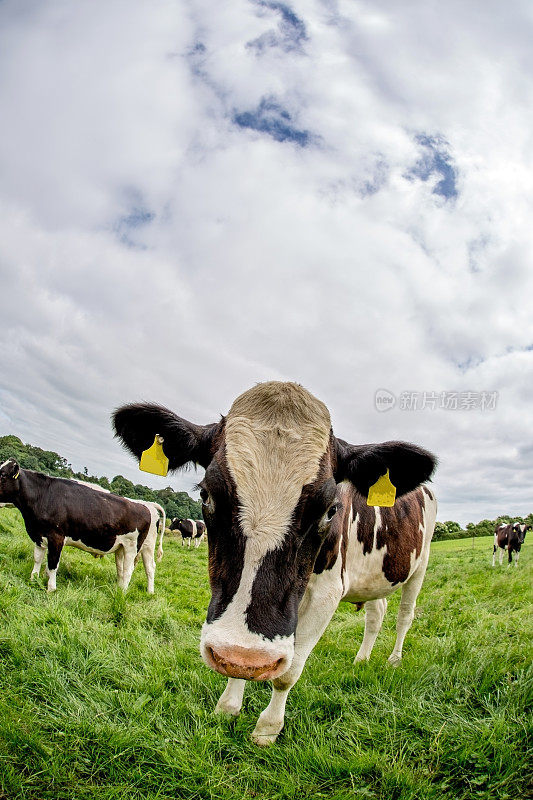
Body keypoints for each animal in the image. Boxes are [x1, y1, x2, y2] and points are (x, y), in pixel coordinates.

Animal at [0, 456, 165, 592]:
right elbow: (37, 559)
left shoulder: (56, 537)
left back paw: (129, 593)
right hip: (121, 547)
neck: (43, 495)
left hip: (138, 546)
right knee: (122, 568)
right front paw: (33, 579)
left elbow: (52, 564)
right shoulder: (38, 535)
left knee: (139, 569)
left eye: (3, 475)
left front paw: (51, 588)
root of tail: (145, 505)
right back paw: (120, 588)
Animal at [113, 382, 436, 744]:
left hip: (419, 566)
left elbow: (288, 672)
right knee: (376, 613)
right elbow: (239, 669)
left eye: (330, 510)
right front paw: (228, 707)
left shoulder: (327, 593)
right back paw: (362, 659)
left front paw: (267, 729)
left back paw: (393, 659)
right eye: (205, 495)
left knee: (404, 615)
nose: (245, 652)